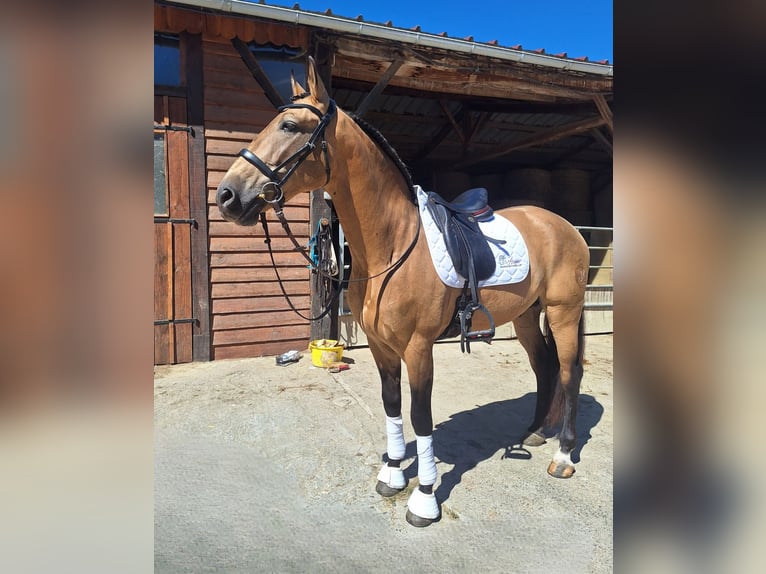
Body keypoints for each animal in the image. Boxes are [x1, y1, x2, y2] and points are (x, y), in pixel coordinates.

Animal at [216, 57, 589, 527]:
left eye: (288, 125)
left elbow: (420, 417)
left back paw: (564, 455)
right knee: (543, 367)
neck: (393, 247)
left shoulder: (418, 348)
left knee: (568, 372)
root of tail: (565, 227)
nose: (227, 196)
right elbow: (392, 406)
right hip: (525, 315)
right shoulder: (381, 346)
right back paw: (538, 432)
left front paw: (424, 498)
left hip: (563, 312)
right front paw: (393, 475)